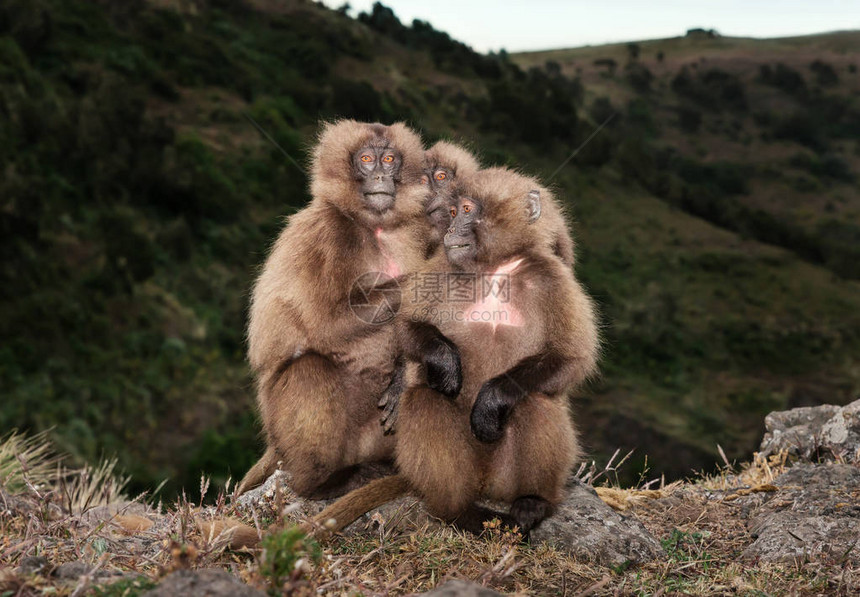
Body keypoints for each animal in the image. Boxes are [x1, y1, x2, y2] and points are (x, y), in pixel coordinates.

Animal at [235, 120, 430, 498]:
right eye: (367, 159)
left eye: (389, 159)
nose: (381, 177)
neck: (375, 229)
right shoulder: (326, 234)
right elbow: (325, 324)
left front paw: (402, 373)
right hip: (285, 427)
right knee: (310, 368)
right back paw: (320, 482)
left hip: (372, 436)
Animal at [314, 166, 596, 536]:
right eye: (452, 212)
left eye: (465, 210)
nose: (450, 229)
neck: (494, 268)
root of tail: (484, 482)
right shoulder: (443, 267)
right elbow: (408, 327)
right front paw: (444, 362)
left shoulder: (552, 277)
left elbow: (570, 359)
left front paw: (493, 398)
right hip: (466, 470)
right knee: (426, 399)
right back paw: (460, 511)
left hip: (503, 477)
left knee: (534, 398)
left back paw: (532, 503)